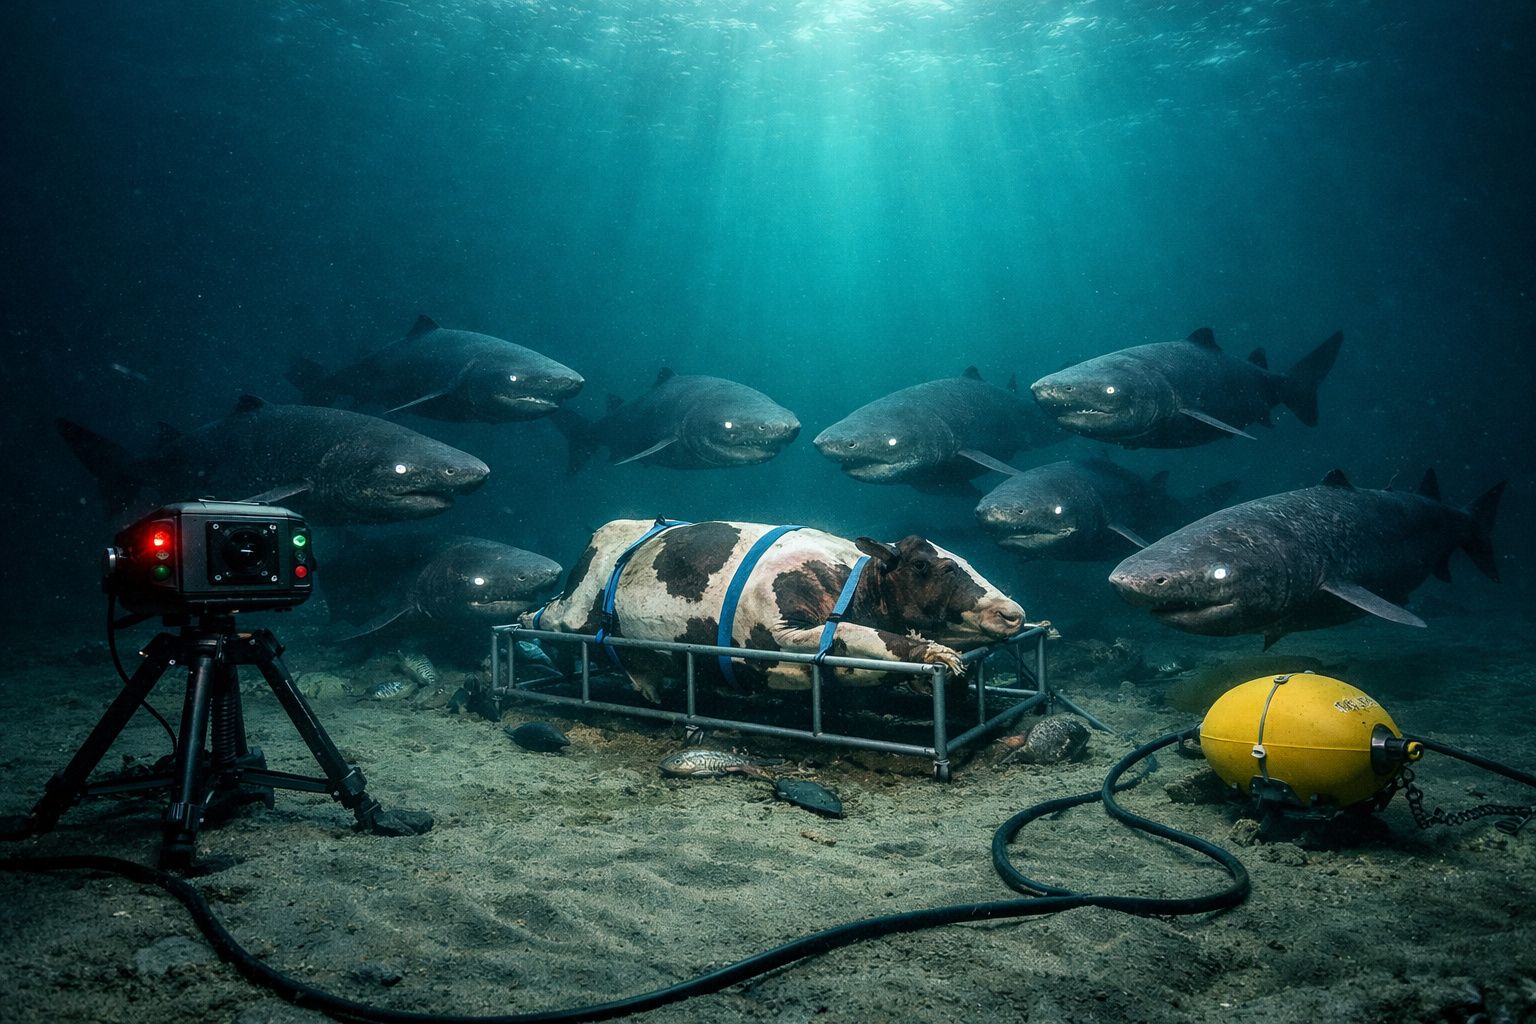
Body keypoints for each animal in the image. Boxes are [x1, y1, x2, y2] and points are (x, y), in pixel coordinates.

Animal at [520, 519, 1026, 703]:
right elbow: (869, 638)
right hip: (573, 609)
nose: (1014, 612)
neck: (855, 584)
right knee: (545, 618)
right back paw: (530, 627)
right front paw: (937, 654)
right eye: (925, 564)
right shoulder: (781, 633)